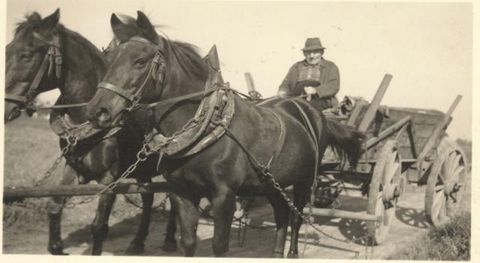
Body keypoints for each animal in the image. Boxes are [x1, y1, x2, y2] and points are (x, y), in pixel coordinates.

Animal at [3, 9, 176, 256]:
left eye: (27, 54)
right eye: (7, 50)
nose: (4, 107)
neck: (85, 119)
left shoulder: (109, 178)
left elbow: (99, 227)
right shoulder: (72, 168)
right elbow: (54, 205)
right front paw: (56, 246)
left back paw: (170, 238)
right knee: (148, 196)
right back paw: (137, 242)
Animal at [87, 11, 364, 258]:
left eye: (140, 61)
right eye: (110, 58)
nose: (97, 110)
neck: (207, 127)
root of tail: (311, 111)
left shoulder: (224, 197)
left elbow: (220, 247)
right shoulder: (182, 193)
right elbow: (187, 243)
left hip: (305, 181)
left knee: (296, 219)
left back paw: (293, 253)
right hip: (273, 183)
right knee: (282, 215)